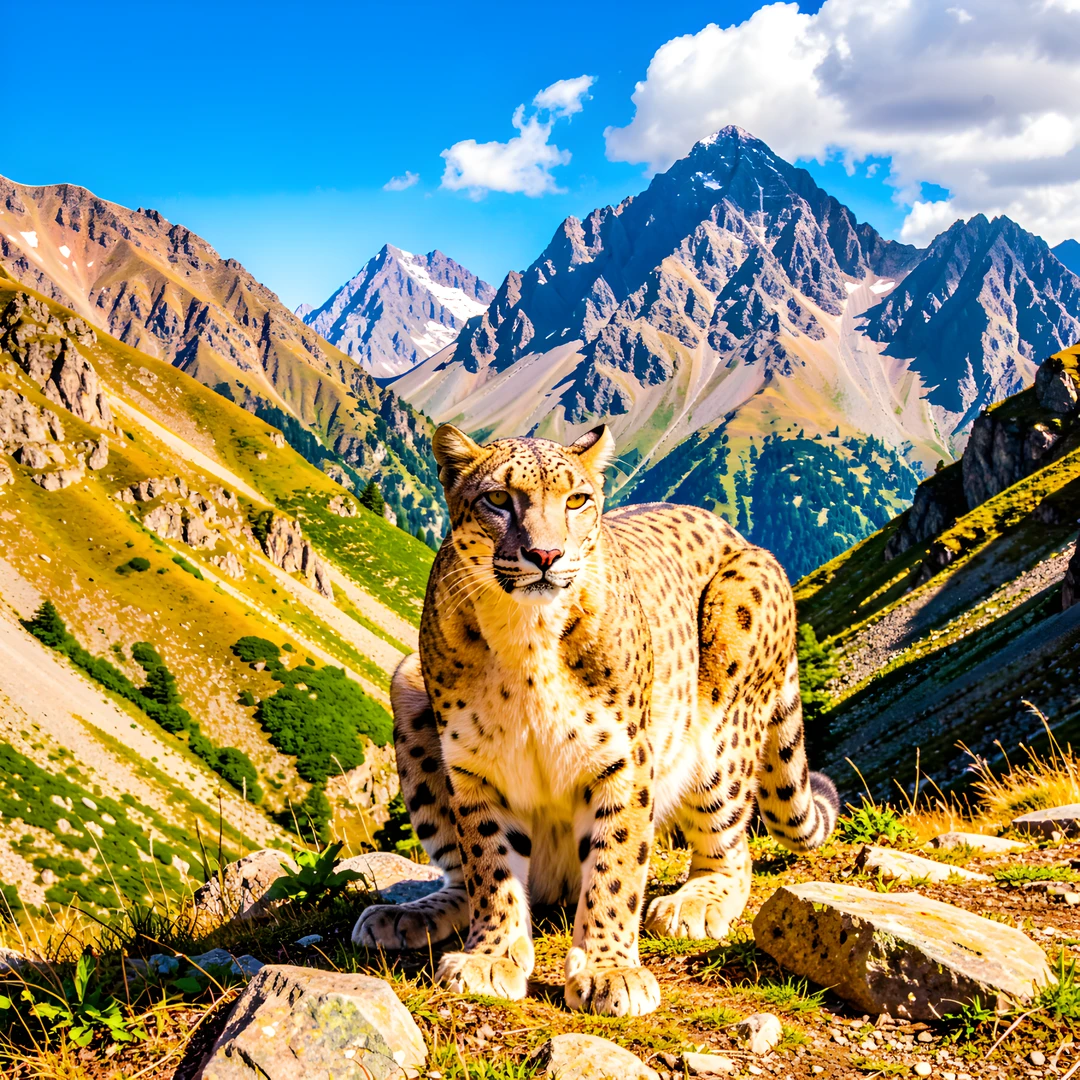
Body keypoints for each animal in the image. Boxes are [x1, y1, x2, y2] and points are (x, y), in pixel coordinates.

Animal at [352, 424, 839, 1017]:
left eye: (577, 500)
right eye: (499, 499)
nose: (545, 553)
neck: (526, 636)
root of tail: (739, 535)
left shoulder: (622, 759)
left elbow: (616, 865)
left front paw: (610, 971)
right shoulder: (475, 767)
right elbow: (488, 864)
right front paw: (491, 957)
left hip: (728, 707)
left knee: (733, 845)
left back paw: (695, 904)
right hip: (407, 684)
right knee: (460, 872)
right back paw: (404, 915)